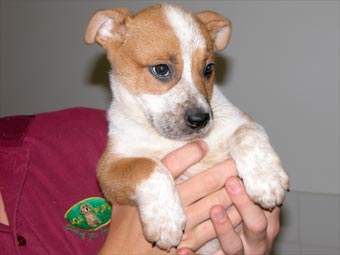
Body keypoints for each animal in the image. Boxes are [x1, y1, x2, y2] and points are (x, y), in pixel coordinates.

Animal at [85, 3, 290, 253]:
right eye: (161, 69)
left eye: (208, 68)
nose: (200, 119)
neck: (171, 141)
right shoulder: (109, 168)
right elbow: (147, 166)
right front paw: (165, 219)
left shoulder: (243, 121)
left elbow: (247, 135)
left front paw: (266, 179)